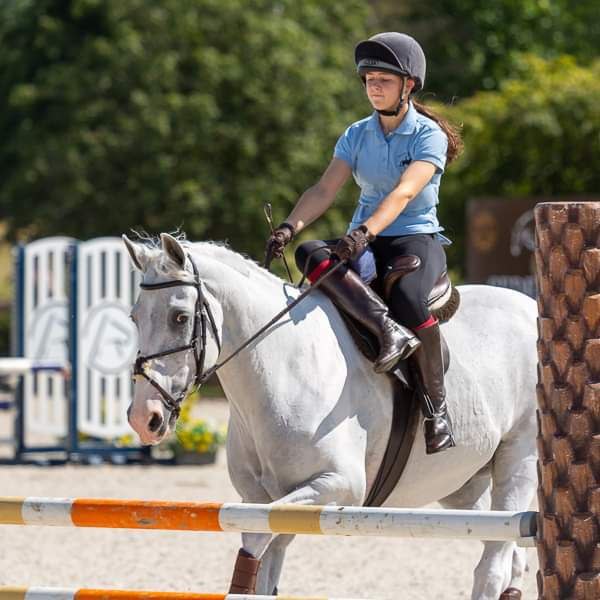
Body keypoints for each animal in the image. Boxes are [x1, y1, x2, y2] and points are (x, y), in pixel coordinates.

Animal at [124, 233, 536, 600]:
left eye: (180, 318)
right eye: (134, 317)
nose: (144, 418)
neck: (283, 365)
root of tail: (530, 307)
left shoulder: (338, 485)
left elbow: (257, 538)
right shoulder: (259, 496)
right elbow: (266, 558)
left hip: (519, 458)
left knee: (493, 564)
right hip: (462, 485)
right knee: (508, 551)